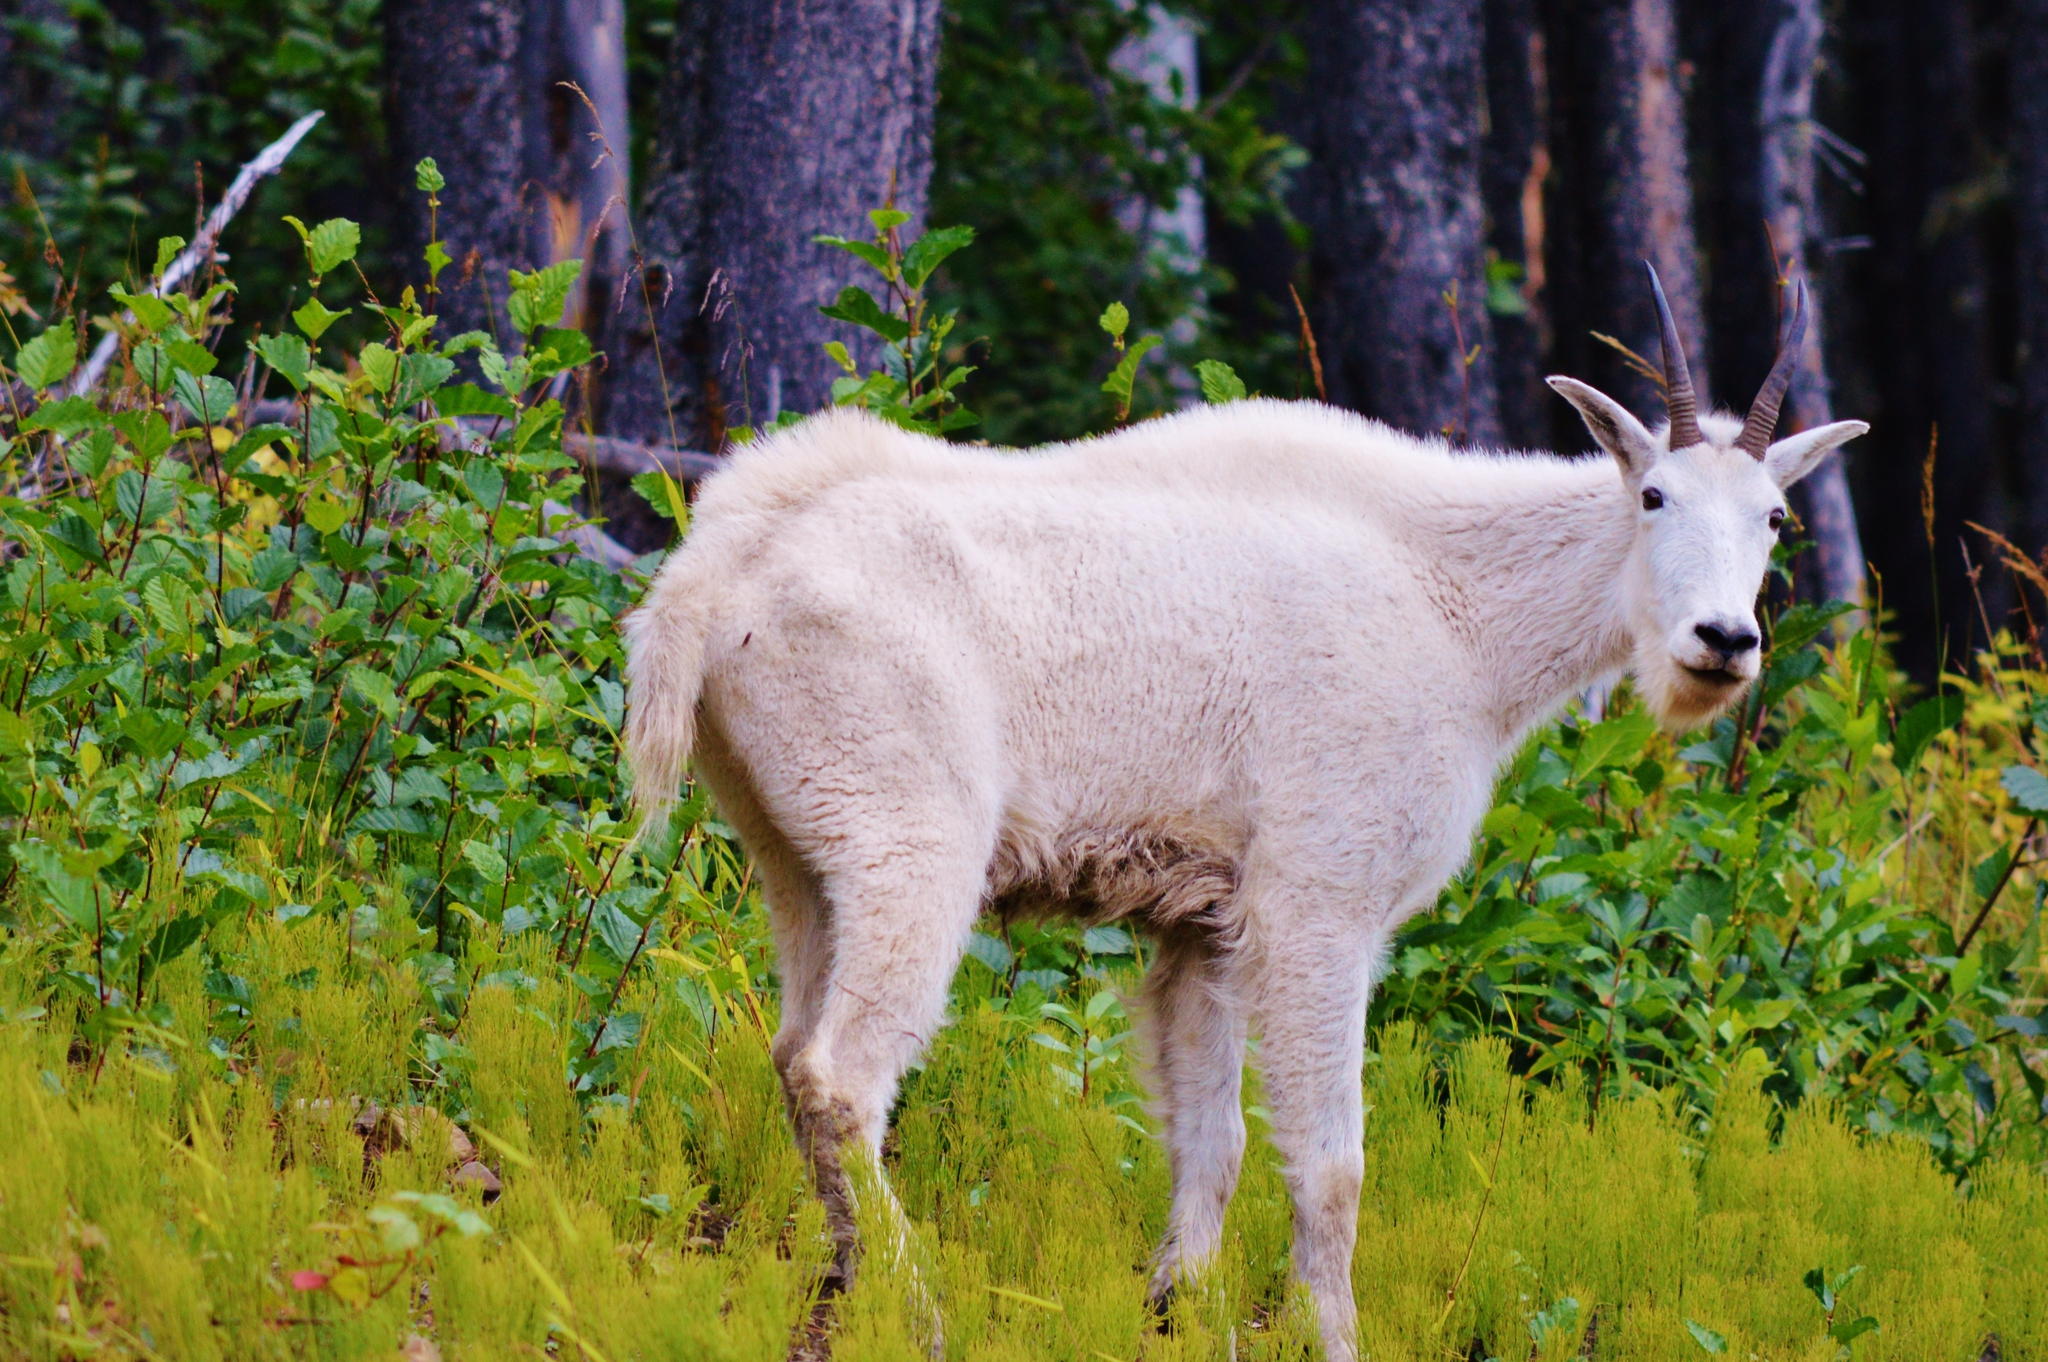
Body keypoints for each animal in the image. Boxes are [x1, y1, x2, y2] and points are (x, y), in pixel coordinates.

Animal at [614, 268, 1867, 1359]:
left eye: (1771, 517)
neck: (1461, 613)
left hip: (792, 856)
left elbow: (1203, 1141)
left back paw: (840, 1288)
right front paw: (1333, 1340)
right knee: (843, 1076)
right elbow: (1330, 1164)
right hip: (909, 847)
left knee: (790, 1054)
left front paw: (1178, 1312)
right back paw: (917, 1312)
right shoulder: (1319, 903)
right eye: (1651, 495)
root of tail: (705, 582)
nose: (1721, 642)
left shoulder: (1202, 922)